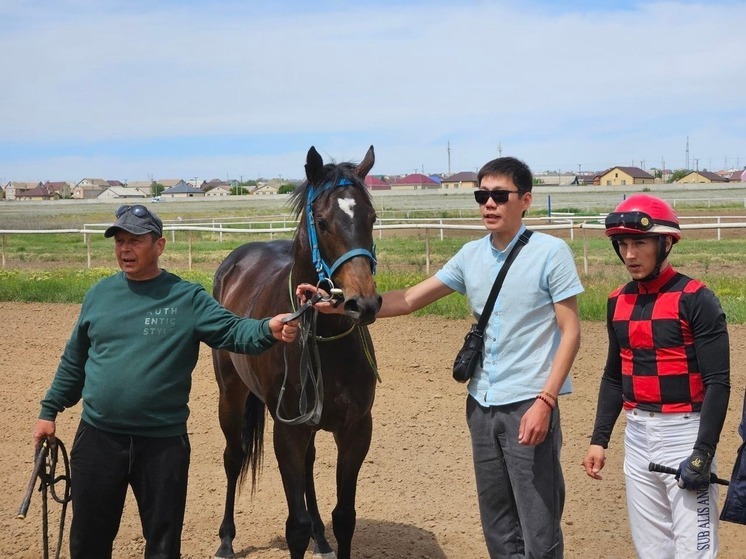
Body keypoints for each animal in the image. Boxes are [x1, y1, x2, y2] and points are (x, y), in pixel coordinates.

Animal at [212, 147, 380, 556]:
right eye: (322, 221)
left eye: (371, 217)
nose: (362, 303)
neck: (321, 337)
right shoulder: (287, 432)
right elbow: (295, 526)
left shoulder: (356, 430)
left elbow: (344, 517)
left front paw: (325, 532)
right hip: (231, 394)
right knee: (233, 457)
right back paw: (226, 539)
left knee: (308, 466)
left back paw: (321, 536)